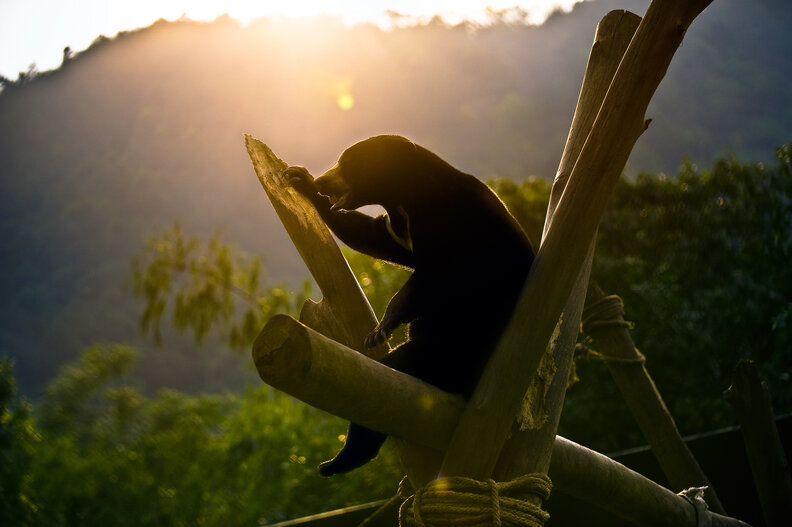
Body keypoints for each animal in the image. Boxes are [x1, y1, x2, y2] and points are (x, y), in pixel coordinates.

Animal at [284, 135, 535, 476]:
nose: (323, 179)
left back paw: (341, 459)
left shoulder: (449, 221)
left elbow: (437, 277)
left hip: (453, 348)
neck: (404, 196)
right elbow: (377, 237)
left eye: (346, 163)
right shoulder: (400, 228)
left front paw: (382, 327)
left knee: (398, 368)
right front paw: (301, 180)